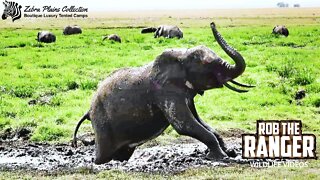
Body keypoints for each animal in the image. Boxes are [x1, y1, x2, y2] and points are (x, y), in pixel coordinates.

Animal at [72, 21, 252, 164]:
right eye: (209, 66)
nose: (212, 23)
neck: (182, 55)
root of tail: (88, 112)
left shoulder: (185, 93)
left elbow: (201, 122)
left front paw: (229, 153)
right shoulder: (165, 92)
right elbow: (184, 126)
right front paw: (221, 157)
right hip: (102, 124)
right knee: (102, 157)